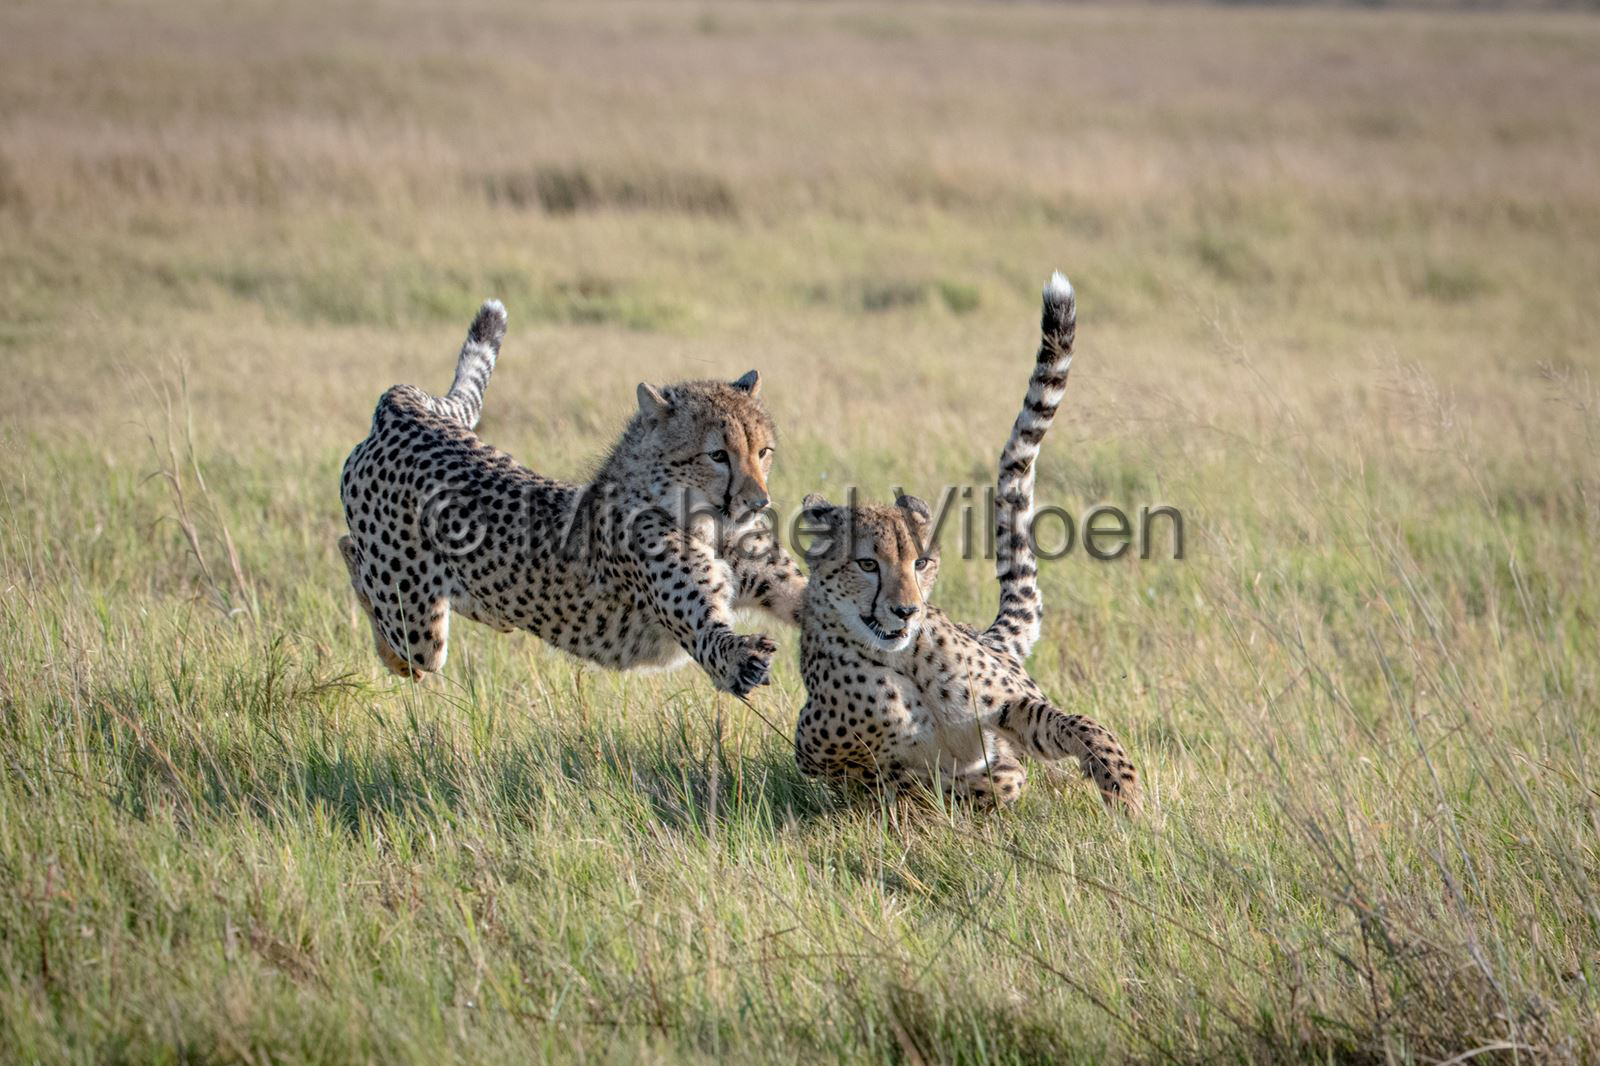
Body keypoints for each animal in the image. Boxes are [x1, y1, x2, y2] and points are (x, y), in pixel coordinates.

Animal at [338, 299, 806, 696]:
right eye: (717, 455)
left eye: (763, 452)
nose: (759, 503)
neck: (704, 521)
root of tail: (403, 408)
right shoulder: (696, 625)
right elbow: (716, 641)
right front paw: (745, 657)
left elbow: (809, 595)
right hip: (415, 620)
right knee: (360, 568)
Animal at [793, 273, 1141, 813]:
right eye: (868, 565)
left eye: (921, 563)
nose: (907, 611)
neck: (903, 661)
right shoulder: (814, 748)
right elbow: (896, 777)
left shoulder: (1007, 707)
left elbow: (1072, 724)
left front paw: (1122, 783)